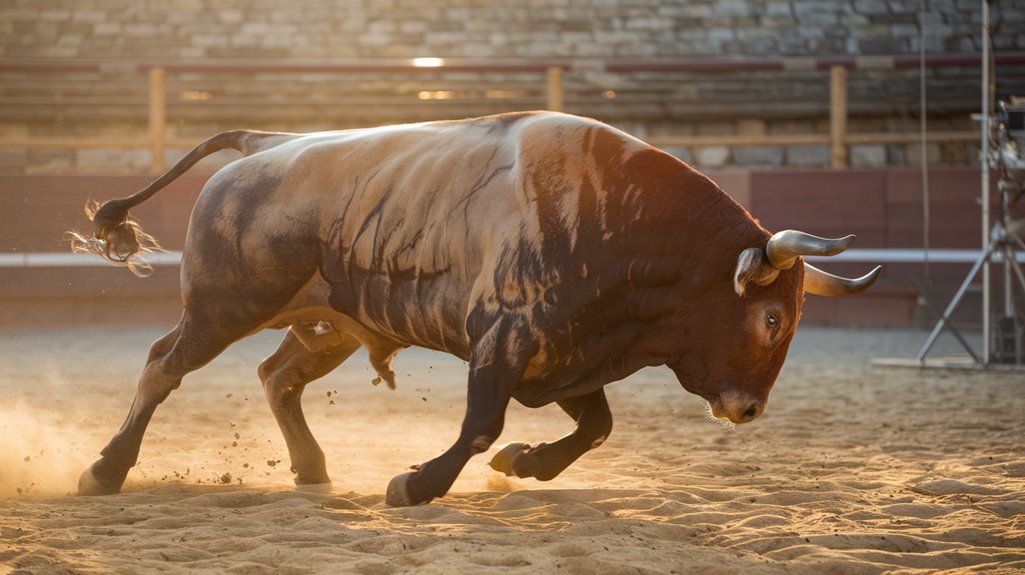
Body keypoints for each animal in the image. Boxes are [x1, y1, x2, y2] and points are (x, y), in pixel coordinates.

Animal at [70, 109, 881, 504]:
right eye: (770, 319)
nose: (747, 410)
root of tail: (265, 143)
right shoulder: (504, 337)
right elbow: (481, 423)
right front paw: (417, 483)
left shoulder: (567, 355)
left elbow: (597, 426)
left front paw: (525, 463)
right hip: (222, 306)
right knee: (163, 365)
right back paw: (104, 470)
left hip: (330, 324)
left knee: (278, 376)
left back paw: (311, 469)